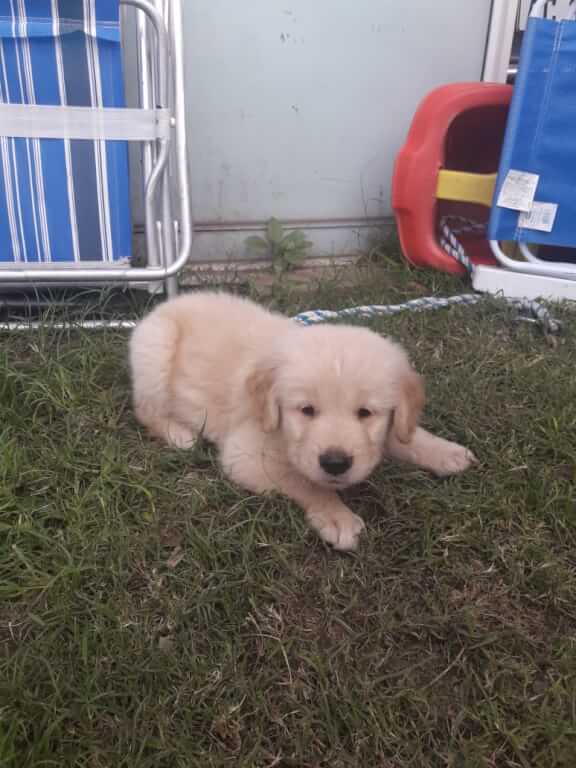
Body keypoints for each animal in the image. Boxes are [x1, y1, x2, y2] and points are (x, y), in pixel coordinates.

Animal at [132, 292, 476, 548]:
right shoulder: (244, 455)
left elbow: (406, 436)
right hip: (155, 350)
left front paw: (446, 452)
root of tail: (167, 304)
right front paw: (337, 516)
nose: (335, 463)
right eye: (307, 410)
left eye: (365, 413)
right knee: (145, 410)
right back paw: (179, 434)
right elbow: (305, 482)